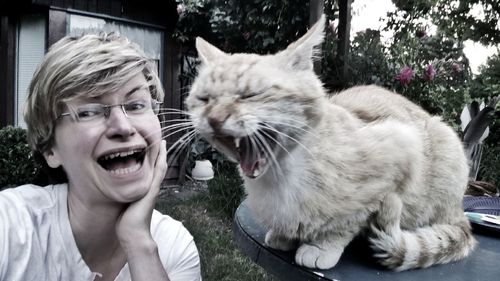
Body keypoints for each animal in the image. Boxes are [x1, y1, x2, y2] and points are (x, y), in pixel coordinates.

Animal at [184, 14, 476, 270]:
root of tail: (459, 208)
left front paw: (320, 248)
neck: (280, 178)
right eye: (204, 99)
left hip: (445, 144)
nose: (214, 118)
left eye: (250, 95)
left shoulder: (399, 148)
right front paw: (283, 236)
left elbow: (344, 223)